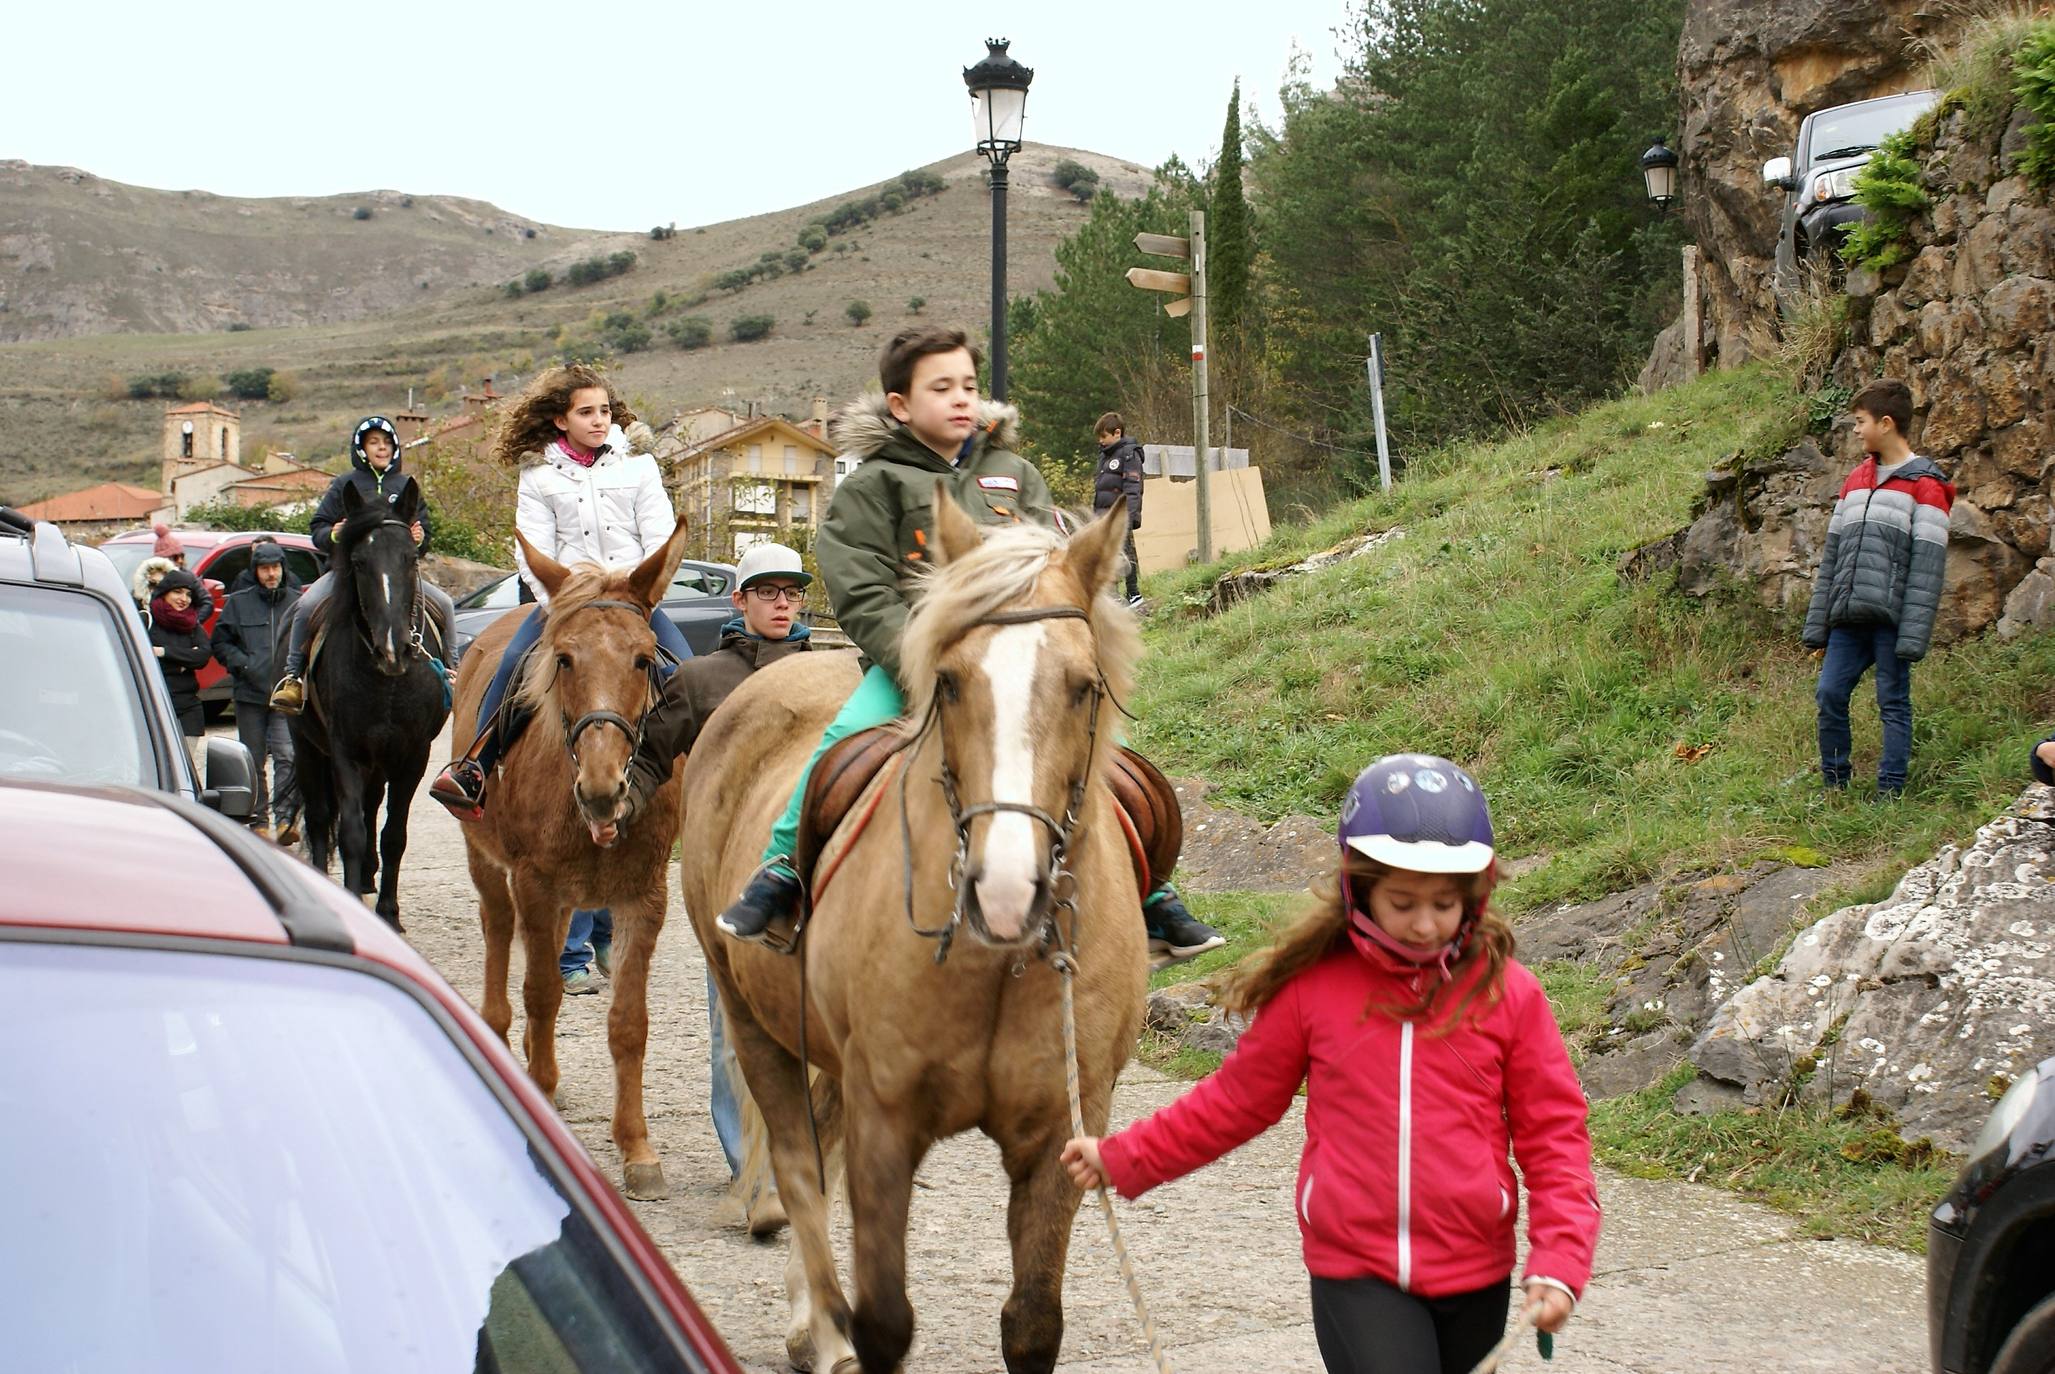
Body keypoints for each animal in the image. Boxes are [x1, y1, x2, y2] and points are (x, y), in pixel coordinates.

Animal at [281, 476, 450, 928]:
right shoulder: (346, 752)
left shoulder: (412, 754)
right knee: (320, 819)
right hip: (307, 747)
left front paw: (388, 912)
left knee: (373, 808)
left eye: (410, 559)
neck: (386, 683)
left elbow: (394, 834)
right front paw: (354, 897)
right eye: (358, 562)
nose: (393, 650)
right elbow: (351, 833)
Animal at [450, 519, 690, 1191]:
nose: (603, 790)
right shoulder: (533, 882)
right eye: (563, 659)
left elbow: (628, 1022)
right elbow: (542, 994)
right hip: (491, 867)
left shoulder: (644, 899)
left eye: (643, 659)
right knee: (501, 937)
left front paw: (636, 1148)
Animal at [682, 492, 1150, 1371]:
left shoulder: (1062, 1132)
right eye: (952, 683)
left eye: (1082, 687)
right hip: (754, 1021)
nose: (1005, 891)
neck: (994, 965)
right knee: (797, 1167)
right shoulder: (886, 1120)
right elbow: (885, 1320)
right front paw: (846, 1329)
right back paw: (823, 1328)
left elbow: (1032, 1323)